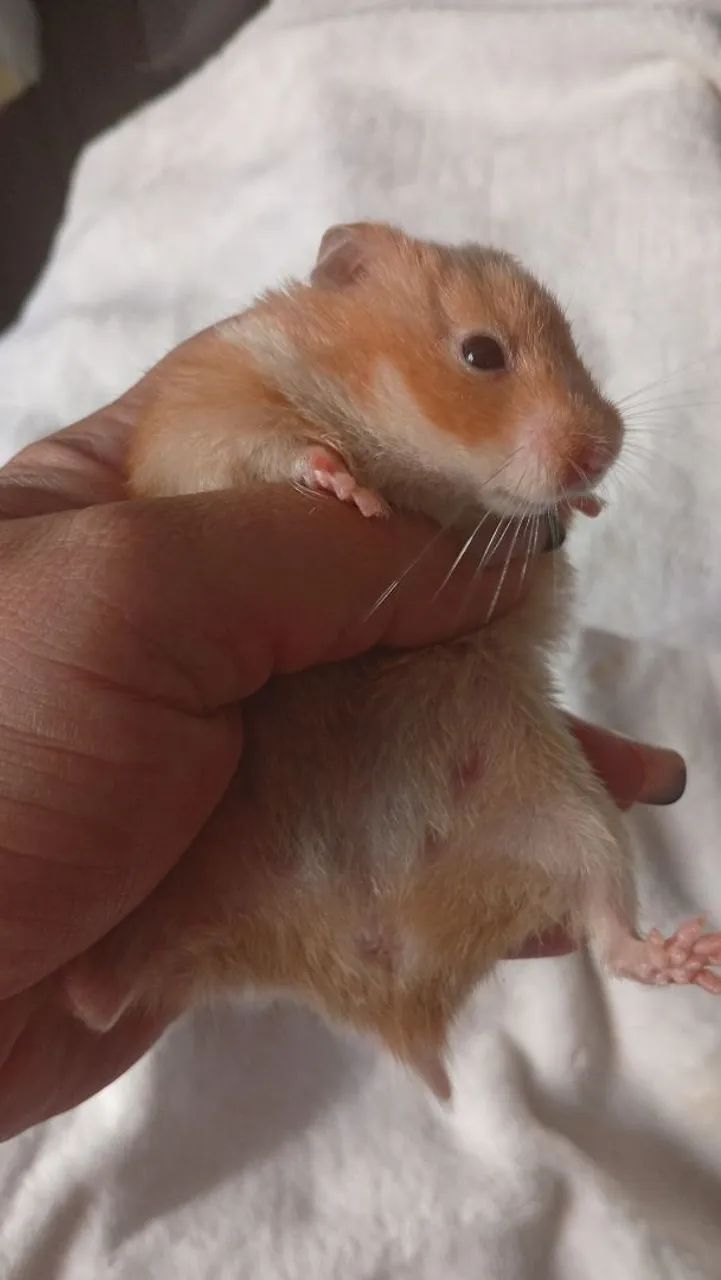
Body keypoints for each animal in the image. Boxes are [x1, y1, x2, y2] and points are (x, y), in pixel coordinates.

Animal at [63, 222, 721, 1098]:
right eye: (481, 354)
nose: (600, 452)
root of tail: (383, 979)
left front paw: (585, 506)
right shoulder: (216, 406)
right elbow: (276, 446)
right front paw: (347, 486)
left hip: (576, 823)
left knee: (612, 935)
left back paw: (689, 956)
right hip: (177, 882)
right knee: (117, 984)